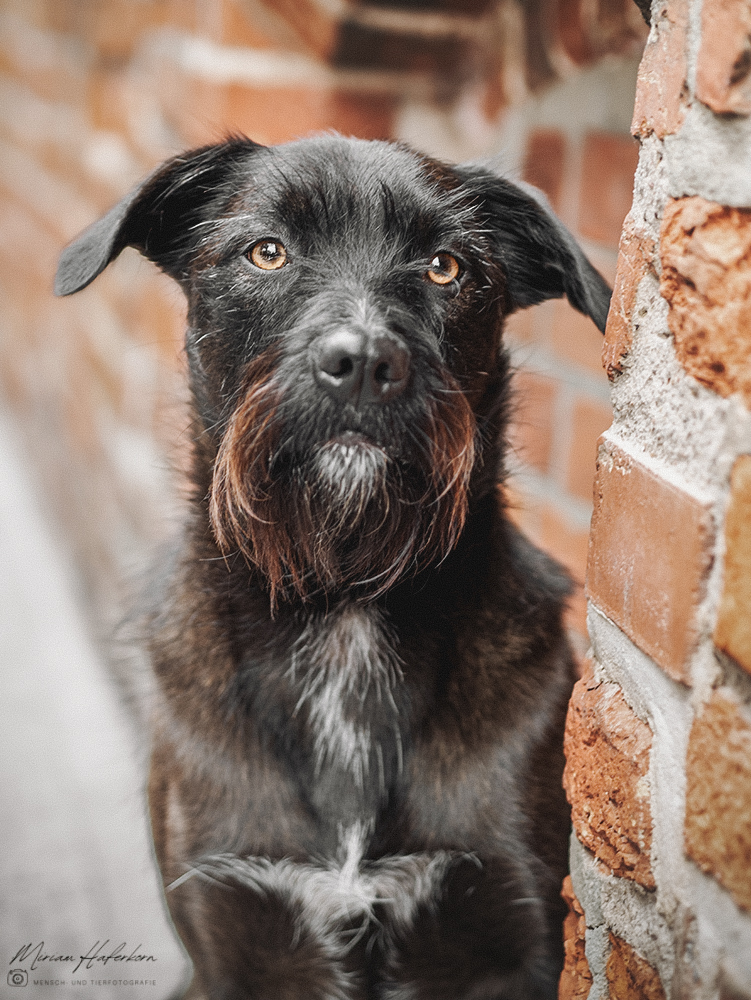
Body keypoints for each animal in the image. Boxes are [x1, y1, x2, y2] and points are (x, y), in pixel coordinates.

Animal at [54, 135, 612, 1000]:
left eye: (445, 267)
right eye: (267, 251)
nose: (364, 363)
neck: (344, 601)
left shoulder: (521, 933)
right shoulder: (229, 942)